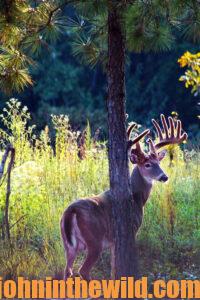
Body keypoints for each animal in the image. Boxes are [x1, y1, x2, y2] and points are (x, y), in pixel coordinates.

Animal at [60, 115, 188, 282]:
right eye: (147, 164)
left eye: (158, 163)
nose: (164, 177)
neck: (137, 198)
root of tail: (71, 211)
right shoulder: (130, 231)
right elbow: (117, 266)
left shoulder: (114, 241)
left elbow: (113, 267)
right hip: (94, 240)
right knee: (83, 270)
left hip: (67, 244)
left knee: (67, 271)